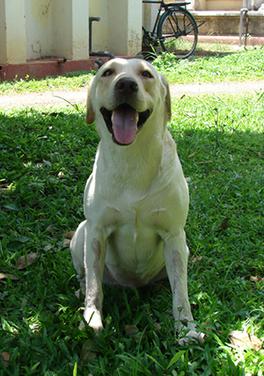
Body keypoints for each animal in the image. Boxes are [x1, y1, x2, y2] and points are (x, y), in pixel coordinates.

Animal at [69, 58, 202, 344]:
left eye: (146, 74)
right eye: (108, 72)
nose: (126, 85)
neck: (133, 157)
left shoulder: (174, 234)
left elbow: (181, 291)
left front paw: (186, 326)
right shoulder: (96, 231)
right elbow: (94, 283)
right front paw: (92, 317)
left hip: (183, 247)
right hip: (80, 234)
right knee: (86, 275)